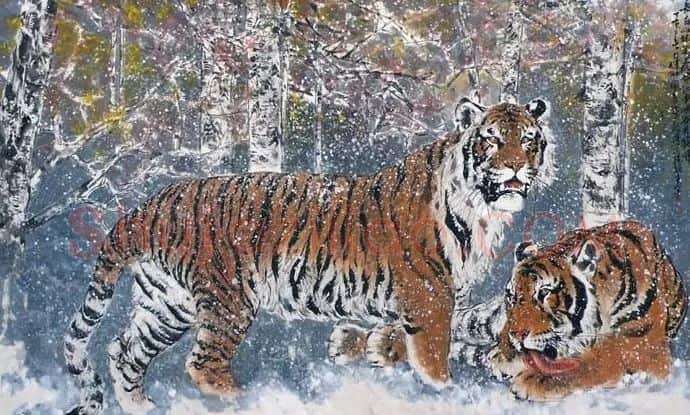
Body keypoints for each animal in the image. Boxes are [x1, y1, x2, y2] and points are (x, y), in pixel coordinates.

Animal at [63, 97, 554, 415]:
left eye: (530, 140)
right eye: (492, 140)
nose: (516, 167)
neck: (482, 207)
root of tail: (148, 206)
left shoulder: (426, 301)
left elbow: (403, 343)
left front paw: (377, 353)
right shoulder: (429, 297)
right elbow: (434, 361)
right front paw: (442, 395)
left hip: (167, 305)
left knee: (123, 351)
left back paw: (142, 407)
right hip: (227, 302)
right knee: (203, 365)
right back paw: (246, 403)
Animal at [488, 221, 687, 401]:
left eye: (544, 292)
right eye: (511, 297)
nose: (517, 336)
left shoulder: (642, 347)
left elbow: (596, 363)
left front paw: (534, 379)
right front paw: (504, 355)